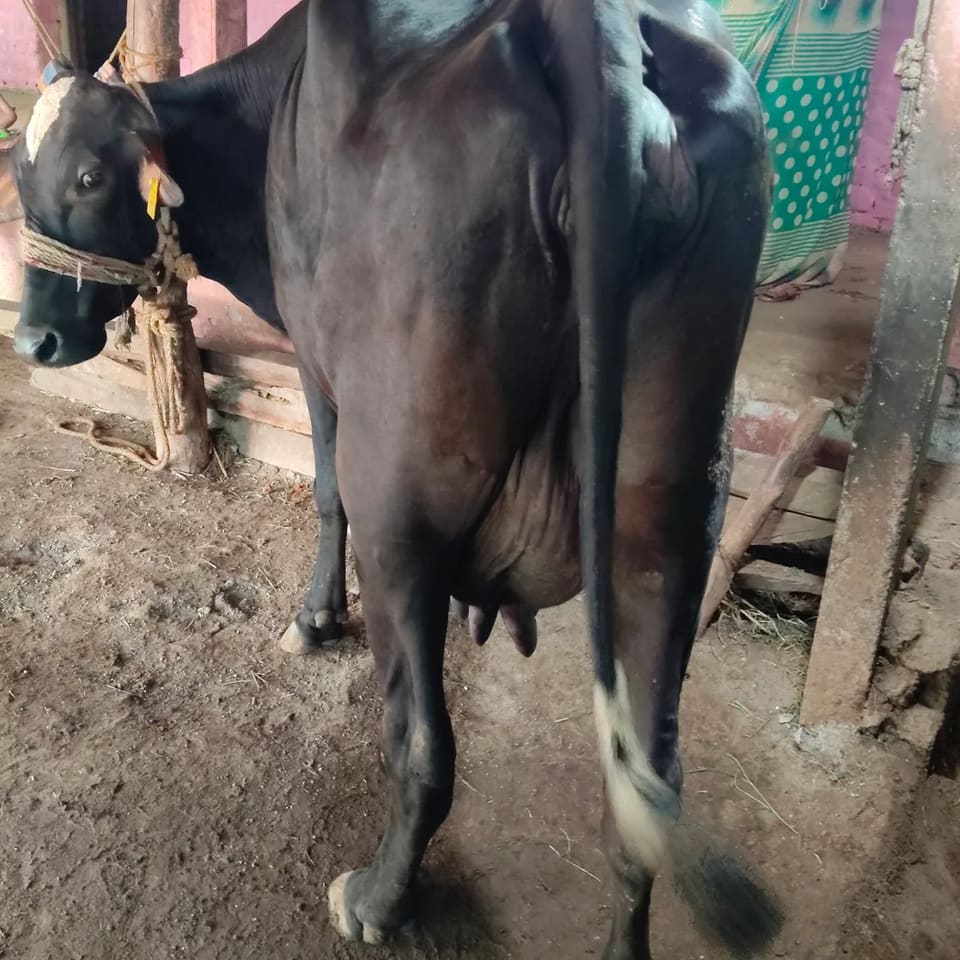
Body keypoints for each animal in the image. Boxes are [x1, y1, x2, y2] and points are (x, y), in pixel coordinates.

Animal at [11, 1, 779, 956]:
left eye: (86, 176)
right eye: (16, 172)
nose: (33, 339)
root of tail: (588, 28)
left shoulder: (312, 353)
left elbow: (324, 486)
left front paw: (313, 619)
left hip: (401, 503)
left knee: (423, 743)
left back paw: (375, 898)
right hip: (672, 521)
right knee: (647, 789)